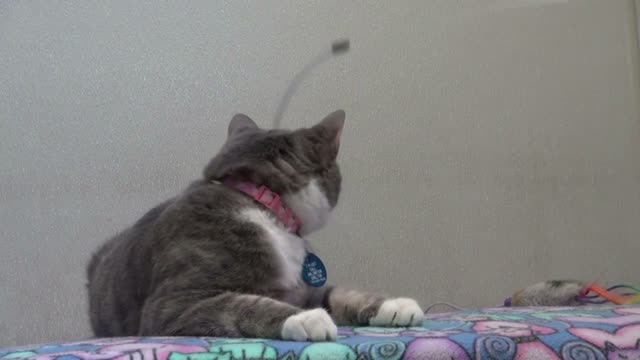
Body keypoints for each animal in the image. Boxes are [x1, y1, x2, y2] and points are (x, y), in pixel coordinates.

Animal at [86, 111, 424, 342]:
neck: (262, 203)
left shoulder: (307, 288)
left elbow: (341, 293)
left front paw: (393, 305)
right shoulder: (172, 305)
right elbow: (241, 304)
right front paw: (306, 319)